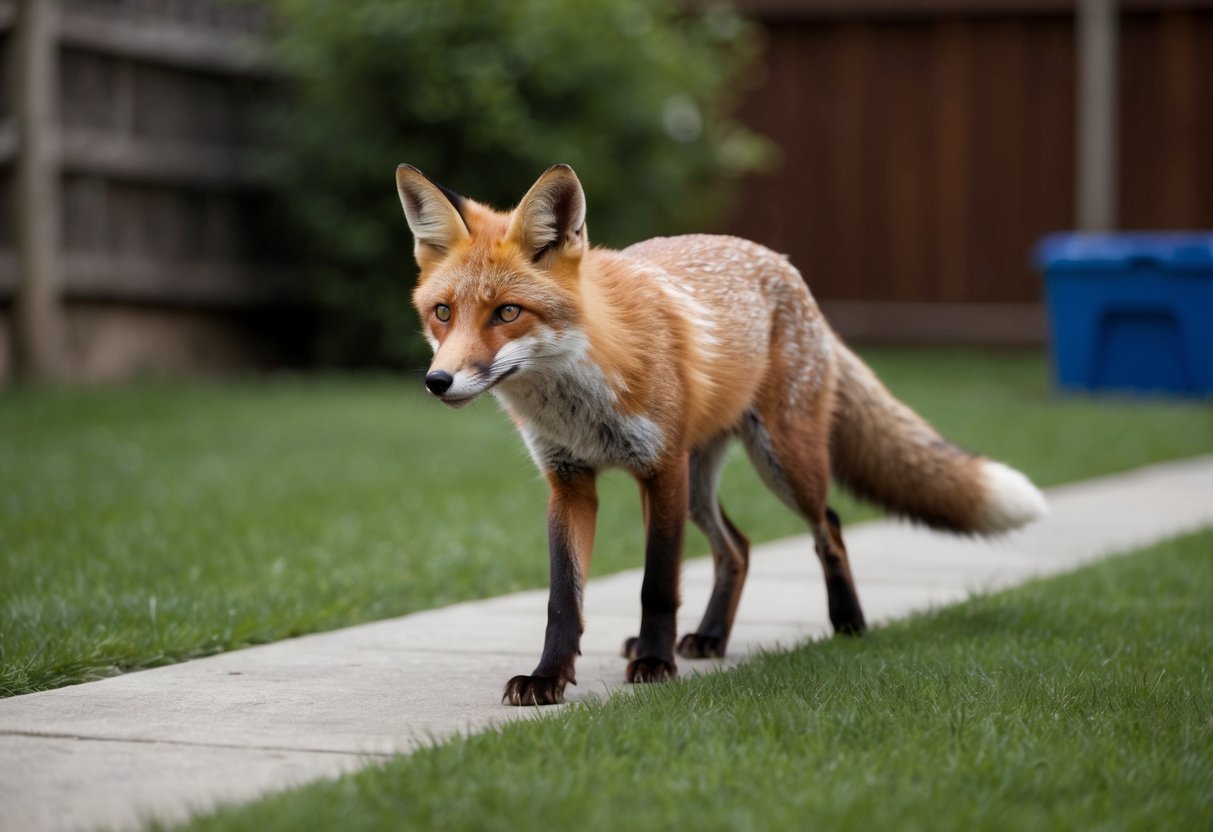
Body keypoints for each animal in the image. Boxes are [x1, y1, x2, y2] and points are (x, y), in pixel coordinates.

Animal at [396, 163, 1048, 706]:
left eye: (507, 313)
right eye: (443, 313)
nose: (438, 380)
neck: (580, 394)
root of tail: (784, 265)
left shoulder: (660, 470)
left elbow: (657, 584)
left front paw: (654, 665)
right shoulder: (570, 480)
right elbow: (565, 599)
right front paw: (549, 677)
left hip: (778, 463)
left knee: (829, 527)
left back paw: (847, 623)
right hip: (698, 482)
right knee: (738, 547)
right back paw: (709, 637)